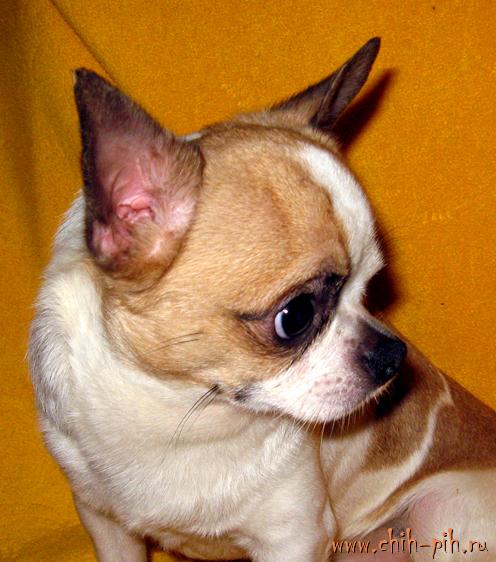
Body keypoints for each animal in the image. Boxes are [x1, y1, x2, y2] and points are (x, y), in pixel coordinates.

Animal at [29, 38, 496, 561]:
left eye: (372, 288)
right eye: (295, 317)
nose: (393, 353)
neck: (179, 413)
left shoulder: (294, 537)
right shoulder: (104, 521)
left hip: (443, 514)